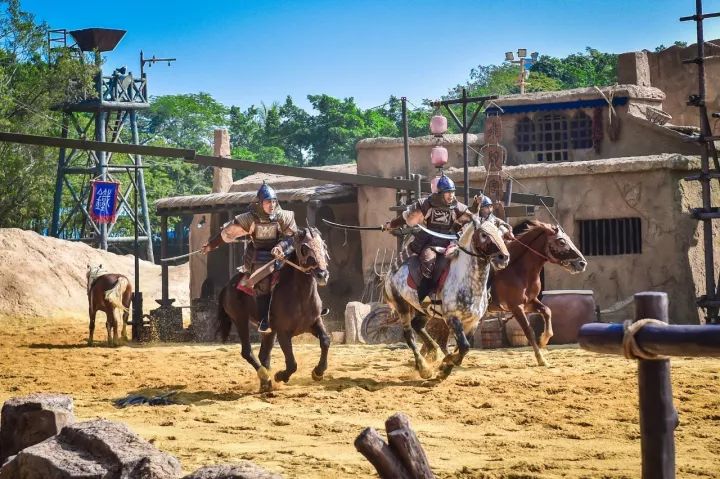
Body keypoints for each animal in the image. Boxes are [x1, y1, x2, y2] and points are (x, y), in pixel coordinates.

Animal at [217, 228, 332, 394]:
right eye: (304, 248)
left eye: (324, 246)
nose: (322, 274)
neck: (300, 296)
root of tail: (227, 286)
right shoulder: (283, 333)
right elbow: (292, 363)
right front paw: (280, 376)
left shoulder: (315, 323)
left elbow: (325, 340)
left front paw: (318, 372)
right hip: (240, 320)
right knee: (247, 351)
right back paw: (266, 378)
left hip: (269, 332)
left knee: (263, 355)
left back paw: (265, 384)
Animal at [386, 218, 510, 382]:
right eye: (484, 234)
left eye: (501, 234)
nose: (504, 257)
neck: (467, 281)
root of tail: (393, 270)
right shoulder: (452, 318)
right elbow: (464, 346)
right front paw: (446, 364)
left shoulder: (473, 322)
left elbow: (463, 348)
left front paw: (445, 367)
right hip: (402, 306)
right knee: (409, 335)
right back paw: (424, 368)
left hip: (423, 309)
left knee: (417, 325)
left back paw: (432, 352)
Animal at [424, 221, 588, 368]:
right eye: (561, 241)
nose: (582, 263)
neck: (518, 269)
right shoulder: (516, 307)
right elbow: (528, 331)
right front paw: (541, 359)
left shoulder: (530, 302)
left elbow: (547, 311)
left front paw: (544, 339)